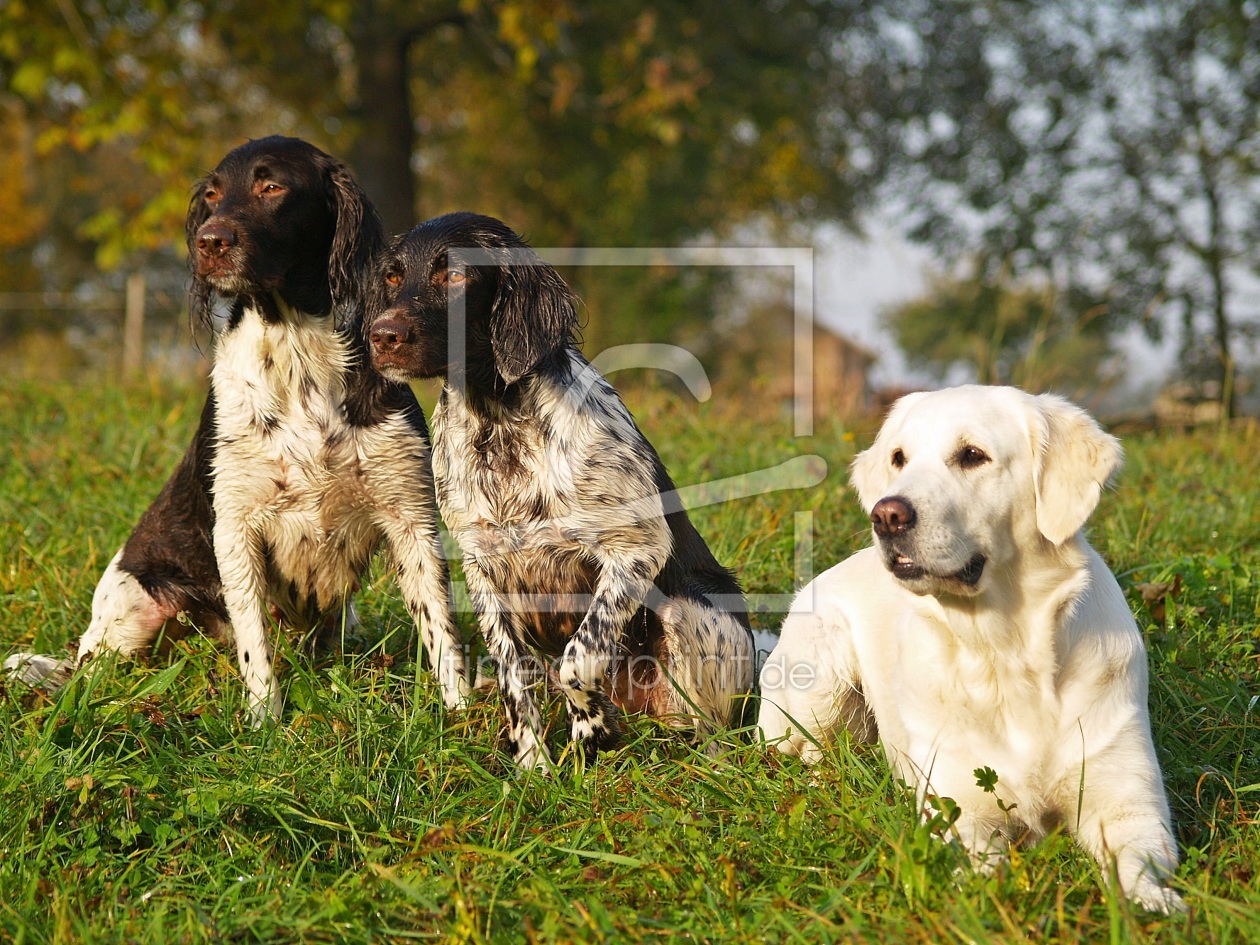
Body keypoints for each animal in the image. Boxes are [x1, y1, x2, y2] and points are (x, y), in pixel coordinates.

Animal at [6, 136, 468, 720]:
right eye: (212, 195)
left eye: (272, 186)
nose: (210, 241)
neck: (296, 357)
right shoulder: (236, 526)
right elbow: (255, 647)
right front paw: (265, 722)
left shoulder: (411, 517)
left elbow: (442, 634)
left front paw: (463, 716)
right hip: (131, 608)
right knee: (90, 673)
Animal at [367, 212, 750, 771]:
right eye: (393, 276)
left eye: (456, 275)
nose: (382, 336)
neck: (499, 424)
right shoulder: (482, 564)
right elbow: (513, 675)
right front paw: (534, 765)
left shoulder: (634, 551)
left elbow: (579, 657)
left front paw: (590, 730)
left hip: (692, 610)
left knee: (711, 730)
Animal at [756, 385, 1189, 917]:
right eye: (899, 458)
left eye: (972, 455)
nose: (886, 515)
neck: (1003, 650)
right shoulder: (960, 808)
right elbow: (985, 879)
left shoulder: (1128, 801)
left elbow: (1138, 867)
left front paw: (1154, 904)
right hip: (817, 685)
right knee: (804, 754)